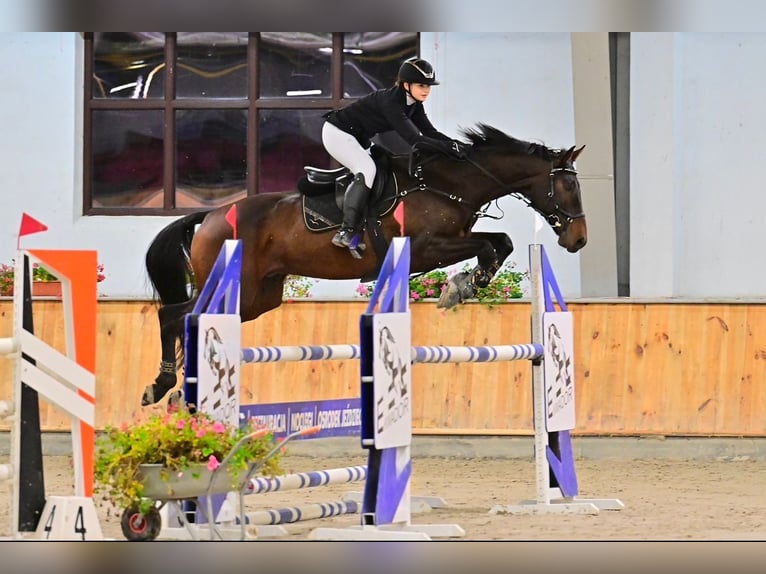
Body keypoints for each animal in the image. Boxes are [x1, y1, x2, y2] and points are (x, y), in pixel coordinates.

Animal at [142, 122, 587, 407]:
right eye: (568, 185)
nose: (578, 239)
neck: (448, 184)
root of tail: (213, 215)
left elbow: (500, 242)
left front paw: (469, 283)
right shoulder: (426, 247)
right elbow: (490, 243)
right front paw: (459, 286)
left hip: (257, 297)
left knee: (191, 318)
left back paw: (180, 390)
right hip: (235, 286)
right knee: (172, 315)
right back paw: (161, 385)